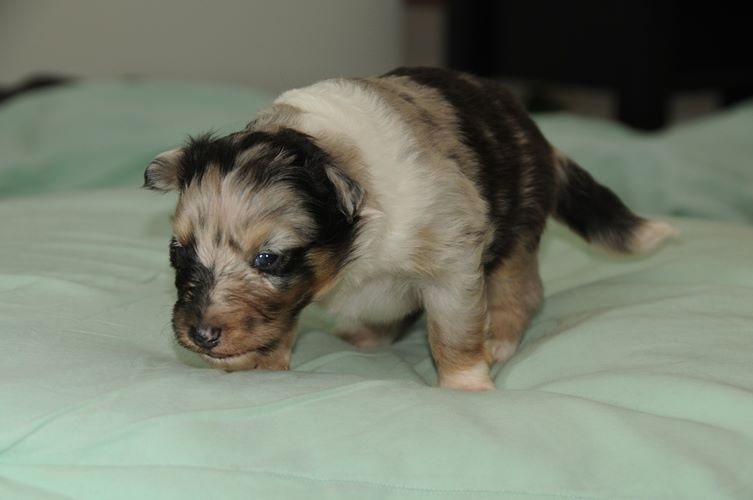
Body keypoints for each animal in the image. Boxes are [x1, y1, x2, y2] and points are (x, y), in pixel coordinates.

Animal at [144, 66, 672, 390]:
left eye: (267, 258)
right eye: (178, 253)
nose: (200, 335)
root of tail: (539, 135)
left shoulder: (453, 260)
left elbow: (453, 333)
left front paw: (467, 385)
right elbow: (279, 321)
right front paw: (262, 365)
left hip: (516, 232)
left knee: (521, 290)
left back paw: (501, 338)